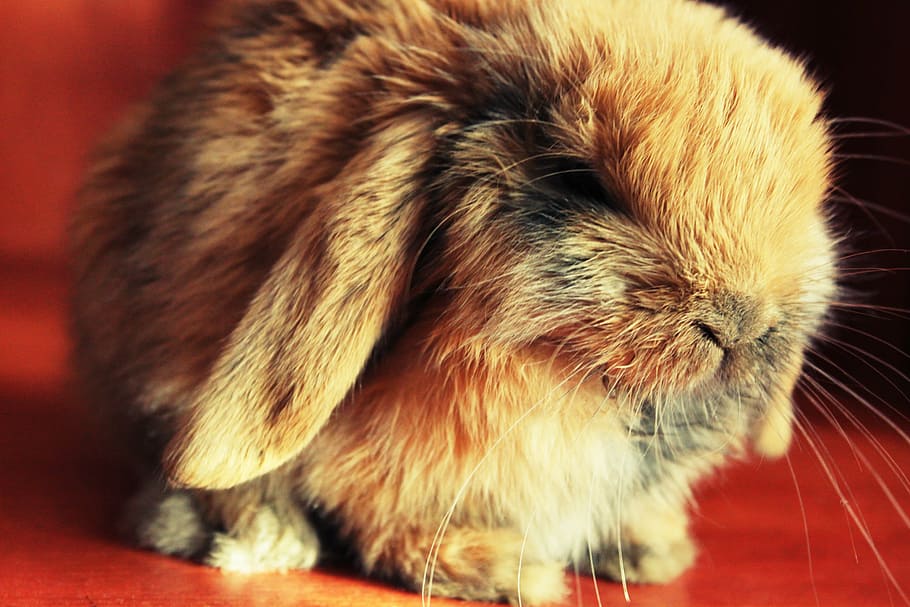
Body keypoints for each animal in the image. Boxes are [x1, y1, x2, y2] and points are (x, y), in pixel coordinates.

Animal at [70, 0, 838, 603]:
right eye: (582, 182)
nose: (741, 323)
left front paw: (657, 552)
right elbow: (379, 512)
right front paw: (509, 573)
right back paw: (266, 538)